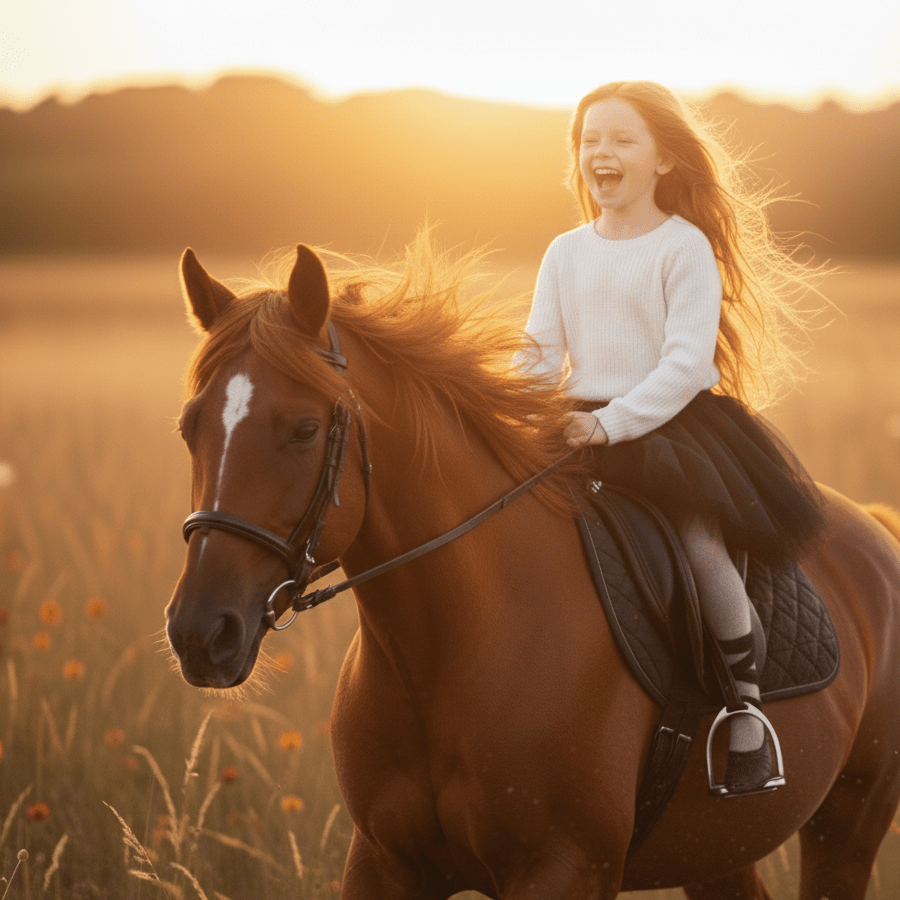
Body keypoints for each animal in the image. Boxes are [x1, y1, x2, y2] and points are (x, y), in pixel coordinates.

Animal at [166, 236, 900, 899]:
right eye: (188, 427)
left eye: (304, 430)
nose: (200, 633)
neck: (448, 648)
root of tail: (874, 530)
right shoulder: (383, 861)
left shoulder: (566, 868)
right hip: (717, 850)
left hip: (848, 825)